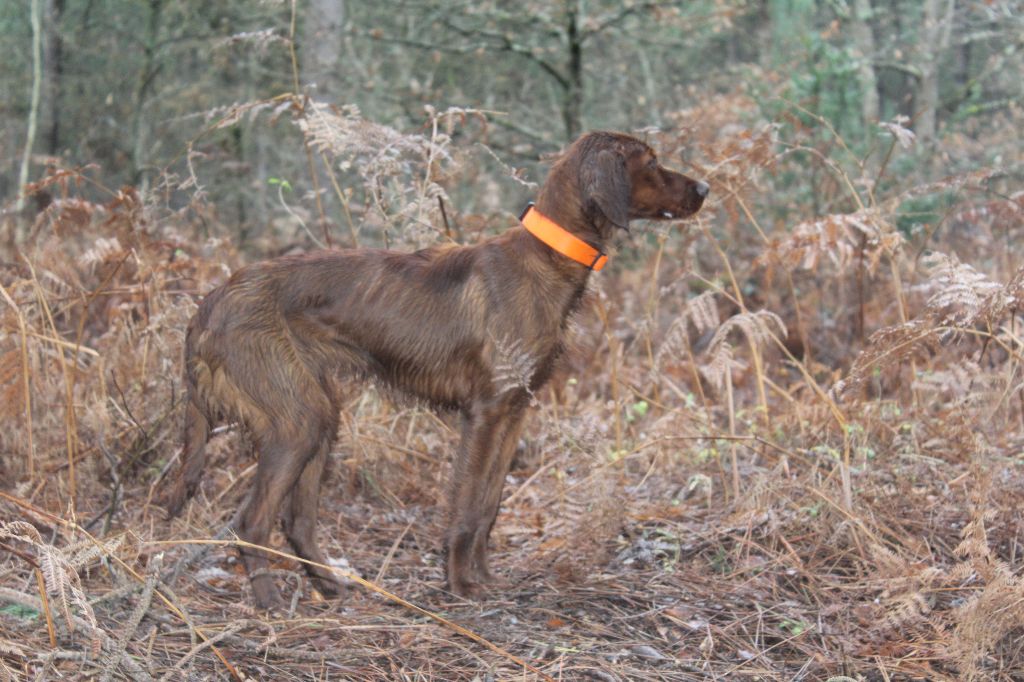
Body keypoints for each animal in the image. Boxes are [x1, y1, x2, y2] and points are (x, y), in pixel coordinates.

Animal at [167, 130, 708, 602]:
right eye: (652, 162)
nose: (704, 188)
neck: (546, 256)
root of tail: (210, 302)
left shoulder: (514, 412)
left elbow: (489, 505)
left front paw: (484, 577)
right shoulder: (486, 413)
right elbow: (467, 508)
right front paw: (461, 584)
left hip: (318, 414)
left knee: (296, 521)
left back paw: (329, 586)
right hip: (297, 420)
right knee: (252, 522)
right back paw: (270, 604)